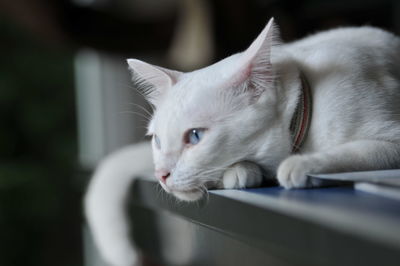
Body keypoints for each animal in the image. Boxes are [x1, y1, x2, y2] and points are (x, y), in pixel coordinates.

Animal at [83, 18, 400, 266]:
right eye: (157, 141)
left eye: (195, 136)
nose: (160, 174)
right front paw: (241, 171)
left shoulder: (392, 139)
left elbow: (352, 152)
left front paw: (301, 165)